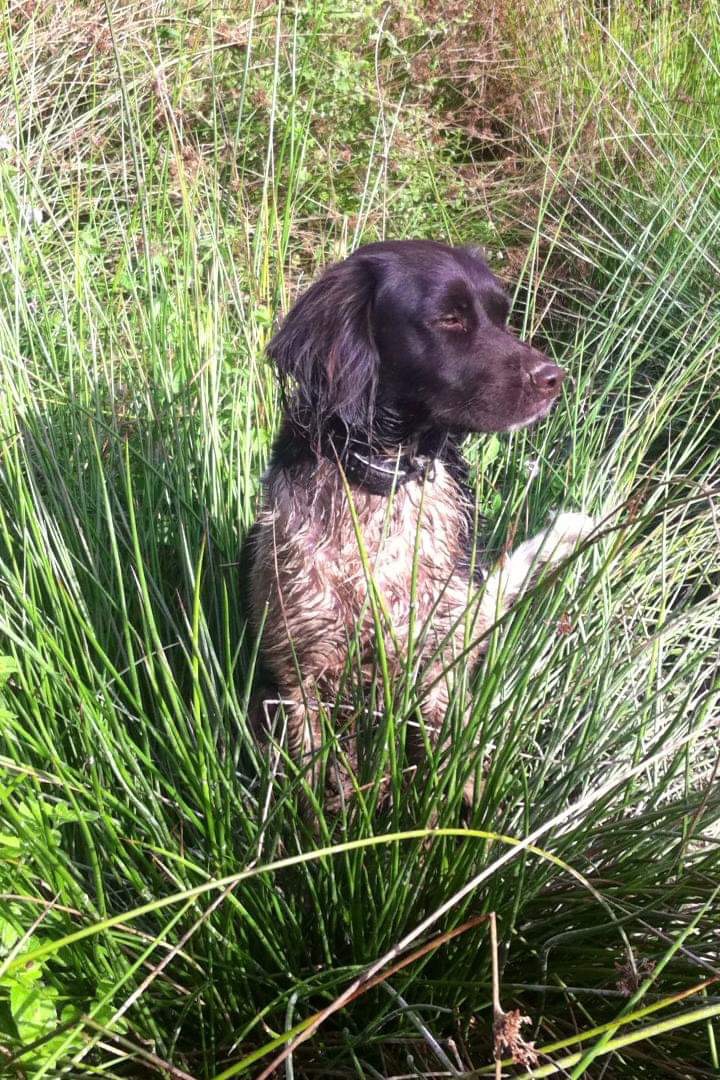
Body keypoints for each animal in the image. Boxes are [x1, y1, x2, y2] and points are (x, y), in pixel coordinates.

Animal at [245, 236, 595, 812]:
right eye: (449, 319)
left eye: (503, 317)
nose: (554, 378)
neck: (385, 483)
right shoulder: (300, 670)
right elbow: (315, 778)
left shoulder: (435, 663)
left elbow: (448, 759)